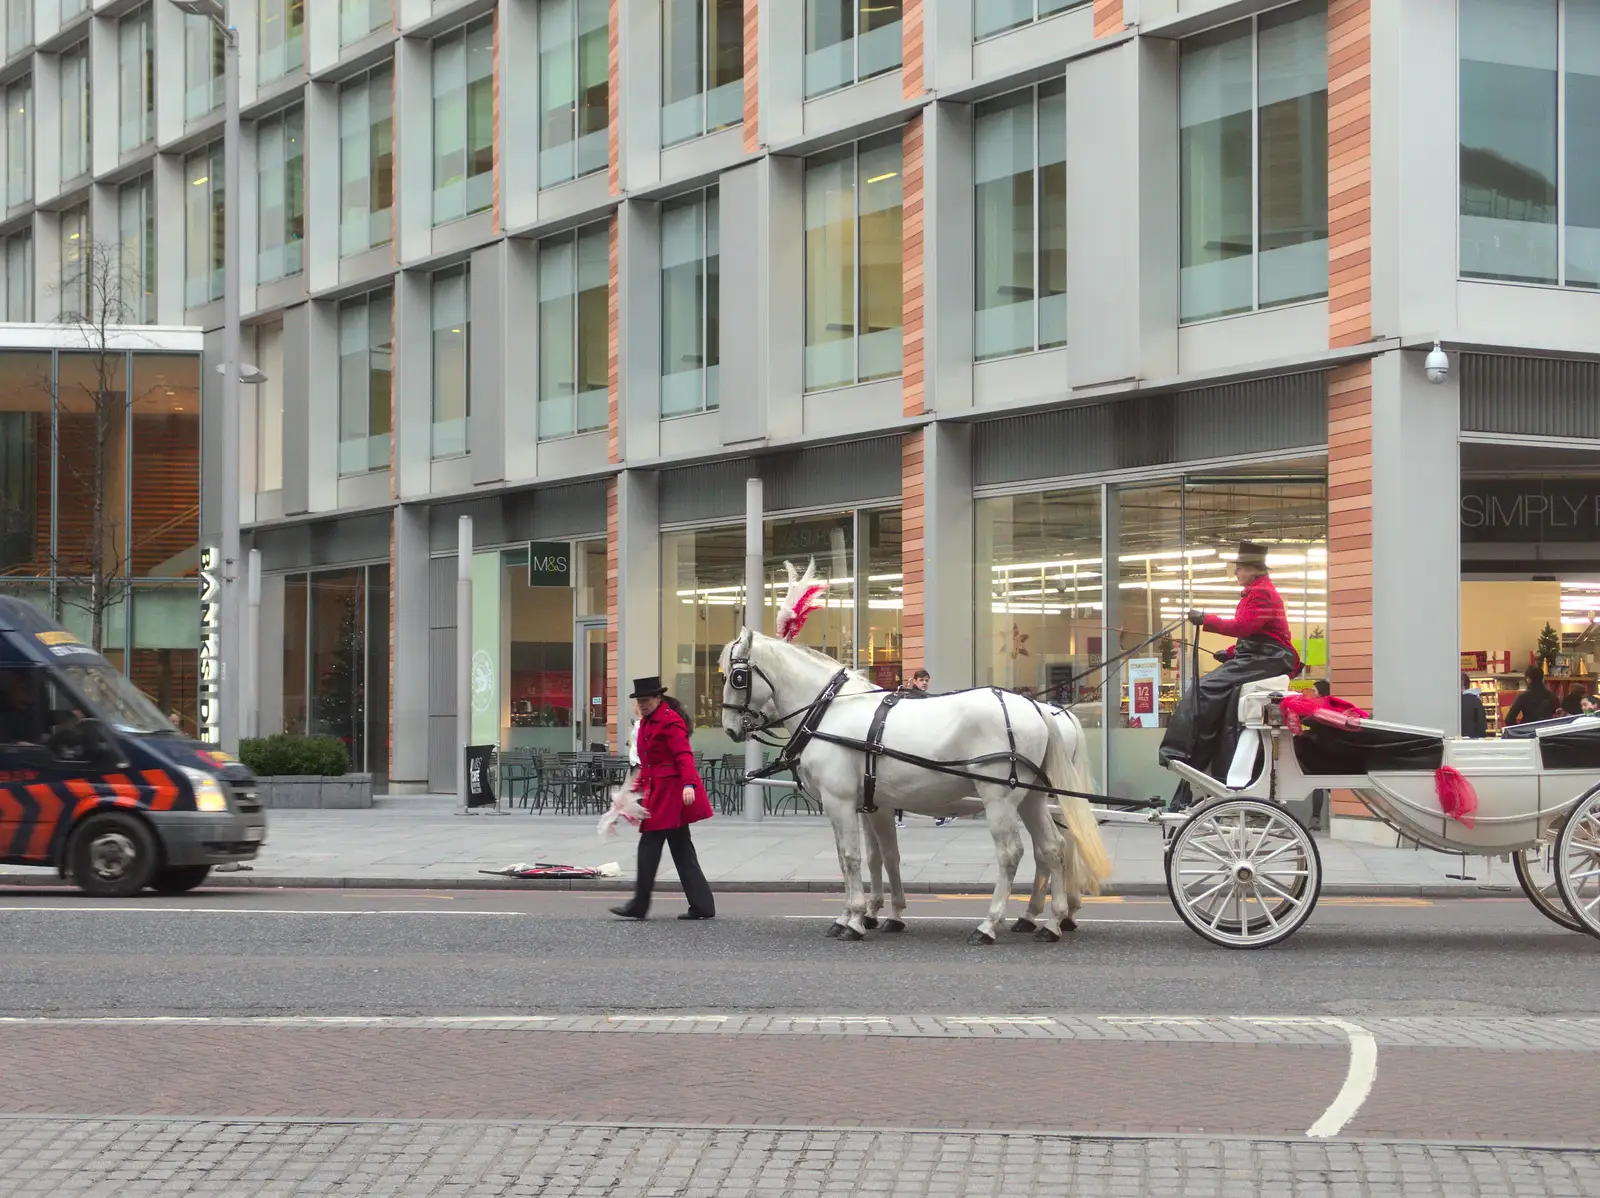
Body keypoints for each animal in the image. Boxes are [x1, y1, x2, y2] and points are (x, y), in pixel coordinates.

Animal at [726, 620, 1113, 940]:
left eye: (737, 677)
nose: (731, 729)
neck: (830, 711)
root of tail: (1037, 709)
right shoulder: (873, 804)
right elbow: (881, 857)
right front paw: (878, 914)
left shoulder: (840, 801)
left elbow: (849, 856)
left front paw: (854, 918)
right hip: (1032, 797)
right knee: (1052, 849)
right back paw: (1050, 920)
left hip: (1001, 798)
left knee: (1012, 853)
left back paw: (990, 924)